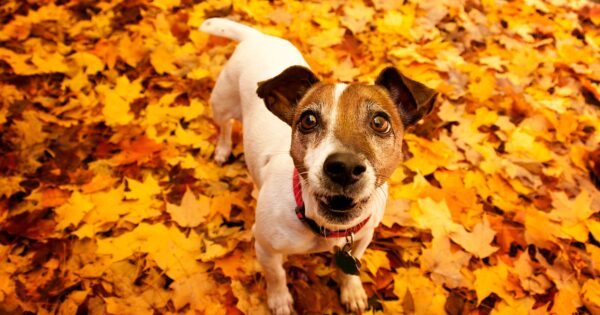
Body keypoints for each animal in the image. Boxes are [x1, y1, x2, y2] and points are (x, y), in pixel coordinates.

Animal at [199, 18, 438, 314]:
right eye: (308, 120)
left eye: (380, 122)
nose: (344, 167)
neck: (322, 226)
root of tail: (257, 36)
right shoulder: (265, 247)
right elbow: (276, 275)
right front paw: (279, 300)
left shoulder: (363, 238)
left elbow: (349, 270)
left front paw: (352, 291)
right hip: (221, 103)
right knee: (225, 126)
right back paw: (222, 148)